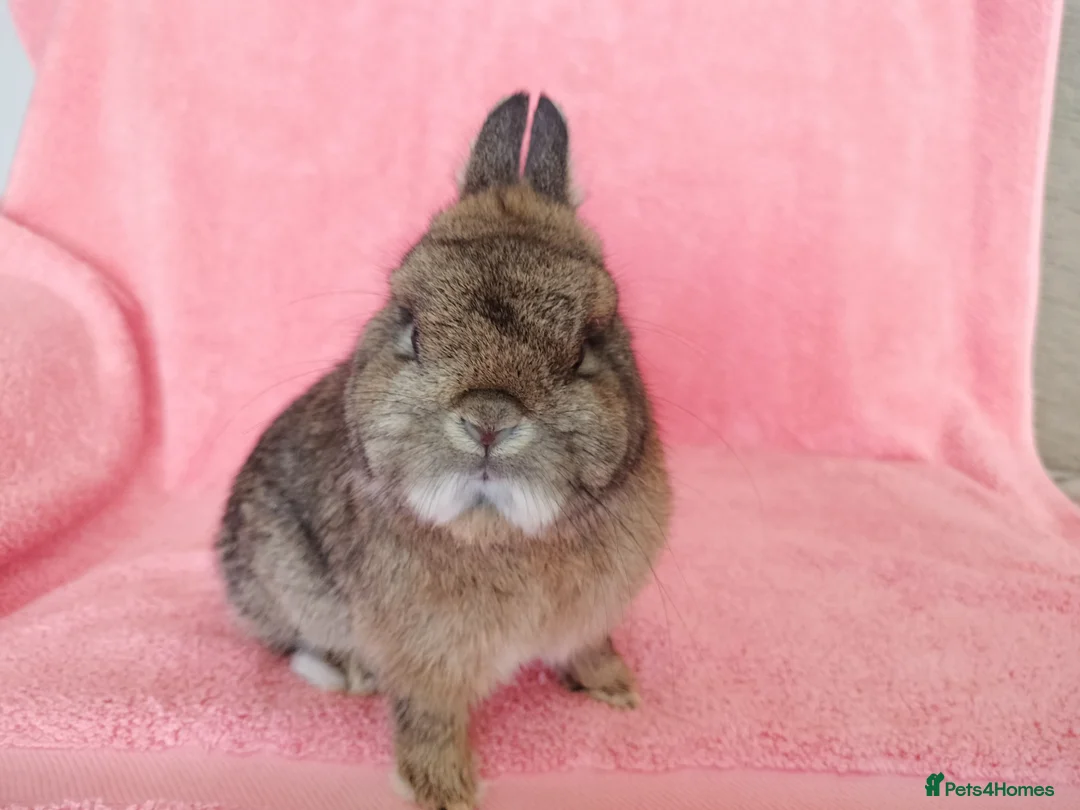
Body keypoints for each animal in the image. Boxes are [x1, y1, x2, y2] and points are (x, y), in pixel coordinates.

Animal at [215, 92, 671, 810]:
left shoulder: (589, 619)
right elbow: (427, 718)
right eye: (413, 330)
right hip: (276, 568)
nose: (488, 419)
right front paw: (445, 792)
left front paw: (616, 689)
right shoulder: (423, 660)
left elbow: (588, 646)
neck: (496, 530)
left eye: (585, 348)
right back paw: (343, 672)